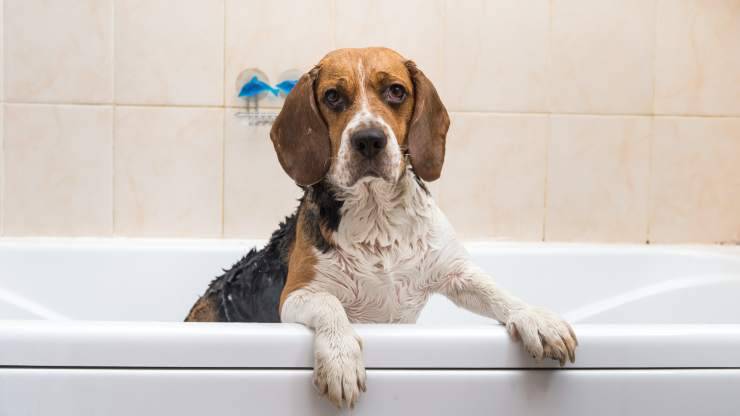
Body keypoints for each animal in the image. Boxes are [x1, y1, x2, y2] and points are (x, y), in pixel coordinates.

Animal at [186, 47, 580, 408]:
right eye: (333, 96)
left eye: (396, 91)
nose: (369, 139)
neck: (378, 218)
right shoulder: (298, 294)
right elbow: (330, 305)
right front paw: (341, 359)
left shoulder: (455, 272)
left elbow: (498, 293)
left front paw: (536, 319)